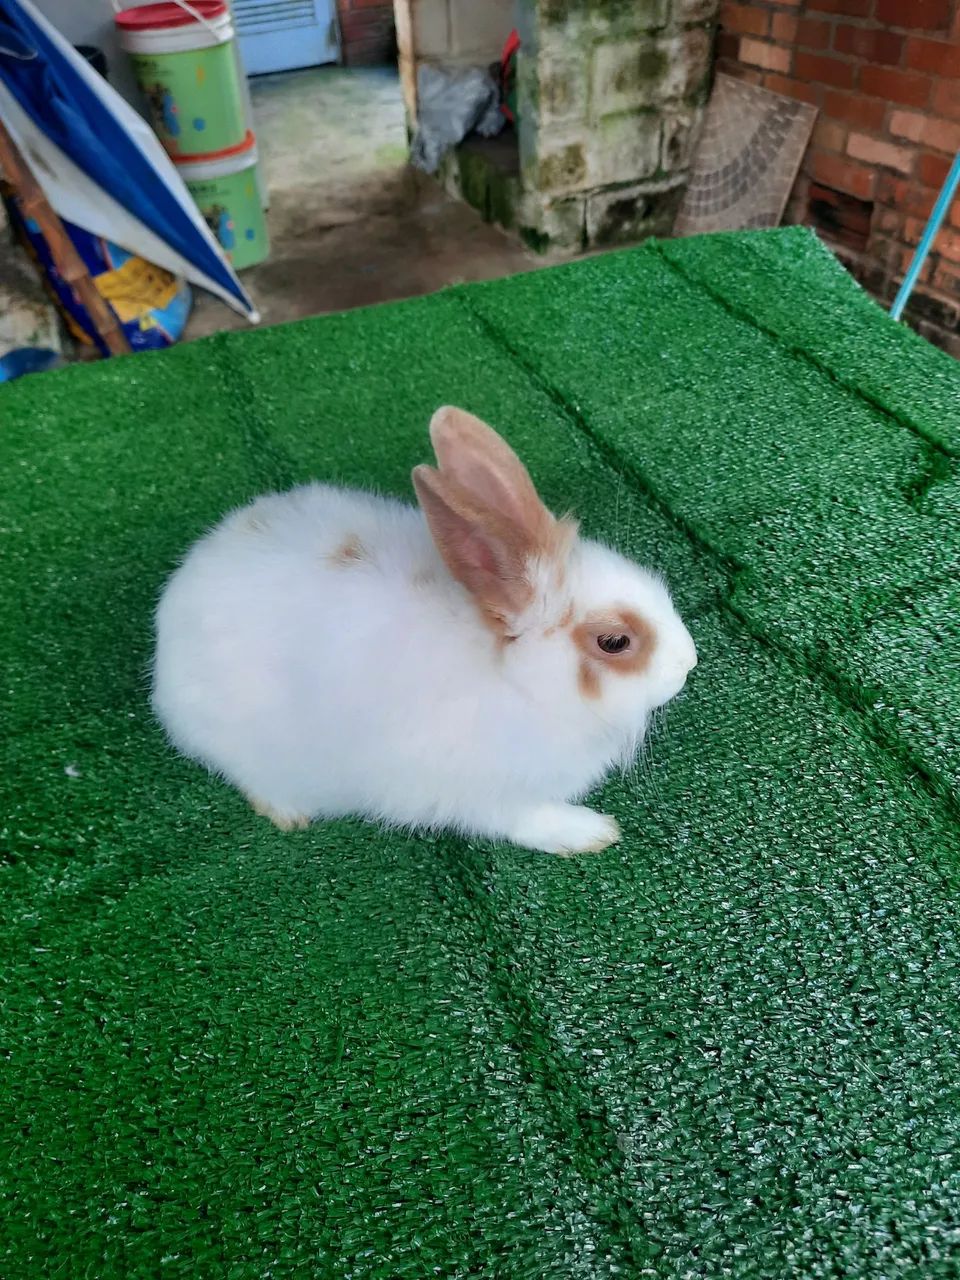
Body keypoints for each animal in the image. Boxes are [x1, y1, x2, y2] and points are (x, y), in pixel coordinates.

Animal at [151, 407, 697, 855]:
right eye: (615, 642)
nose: (688, 662)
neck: (520, 684)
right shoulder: (486, 795)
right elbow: (529, 821)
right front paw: (591, 832)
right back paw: (289, 812)